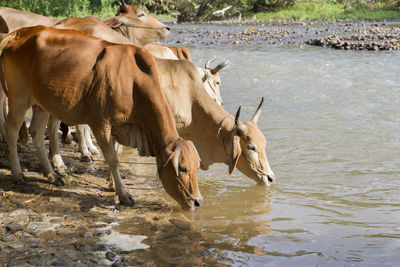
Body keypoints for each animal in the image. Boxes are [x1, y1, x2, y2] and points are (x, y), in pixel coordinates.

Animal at [0, 26, 202, 211]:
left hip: (40, 104)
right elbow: (113, 159)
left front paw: (112, 184)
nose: (198, 202)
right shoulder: (101, 123)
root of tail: (20, 33)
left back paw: (52, 175)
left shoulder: (119, 125)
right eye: (182, 168)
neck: (133, 81)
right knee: (11, 130)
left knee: (36, 134)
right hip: (19, 97)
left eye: (197, 167)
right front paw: (123, 194)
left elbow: (115, 154)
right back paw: (18, 173)